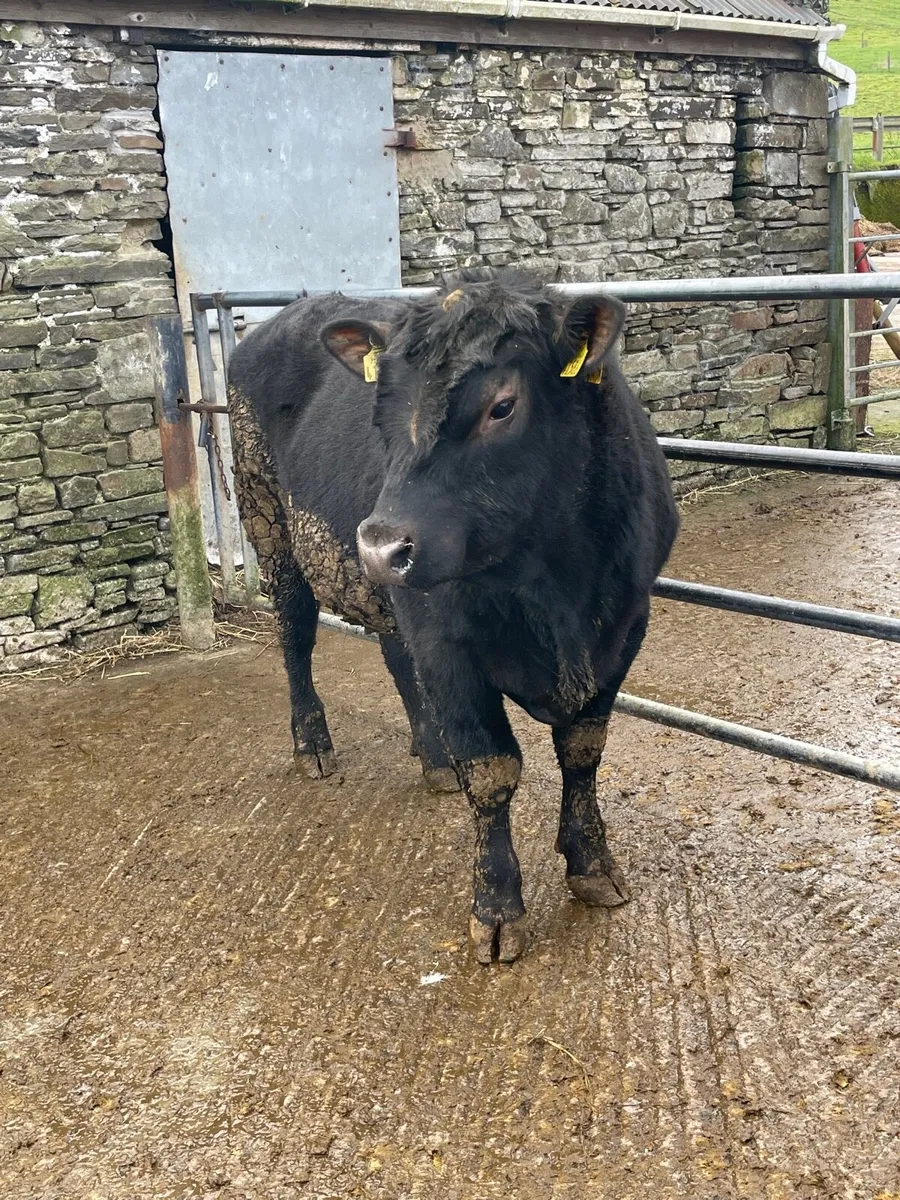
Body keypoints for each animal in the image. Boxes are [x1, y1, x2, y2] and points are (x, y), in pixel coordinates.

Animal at [227, 269, 678, 964]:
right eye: (379, 411)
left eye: (502, 406)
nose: (380, 546)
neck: (559, 591)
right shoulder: (448, 640)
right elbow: (492, 771)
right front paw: (496, 909)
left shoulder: (624, 629)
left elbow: (583, 751)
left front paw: (592, 865)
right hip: (270, 526)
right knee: (295, 635)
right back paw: (314, 744)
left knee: (393, 655)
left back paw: (432, 755)